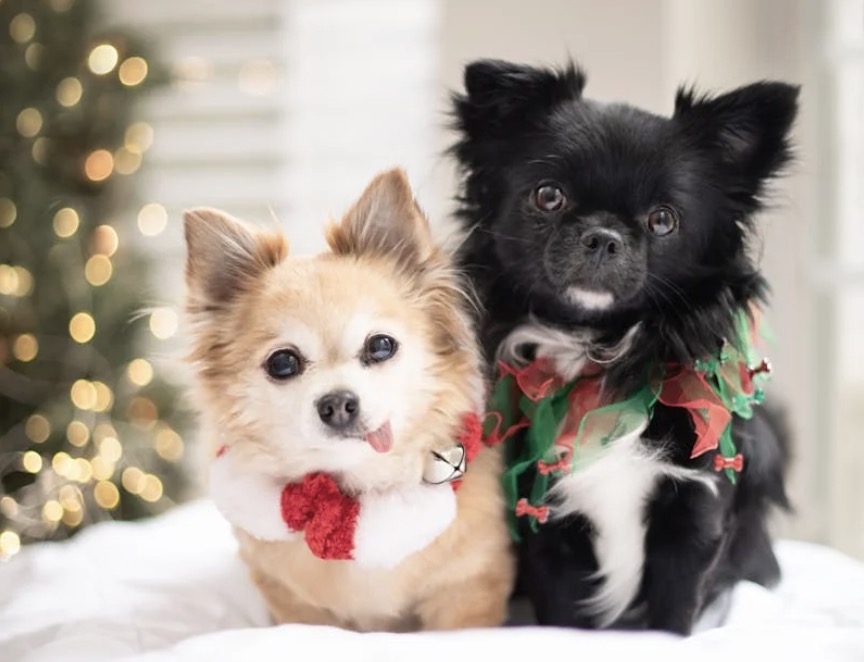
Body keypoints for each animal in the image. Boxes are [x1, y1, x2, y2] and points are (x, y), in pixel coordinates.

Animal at [181, 167, 512, 632]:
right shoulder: (290, 599)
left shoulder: (466, 587)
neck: (352, 490)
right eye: (282, 363)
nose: (338, 402)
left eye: (381, 346)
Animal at [452, 62, 796, 640]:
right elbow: (563, 616)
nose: (603, 236)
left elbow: (674, 618)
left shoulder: (693, 516)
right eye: (549, 196)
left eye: (663, 220)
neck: (603, 356)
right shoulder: (545, 525)